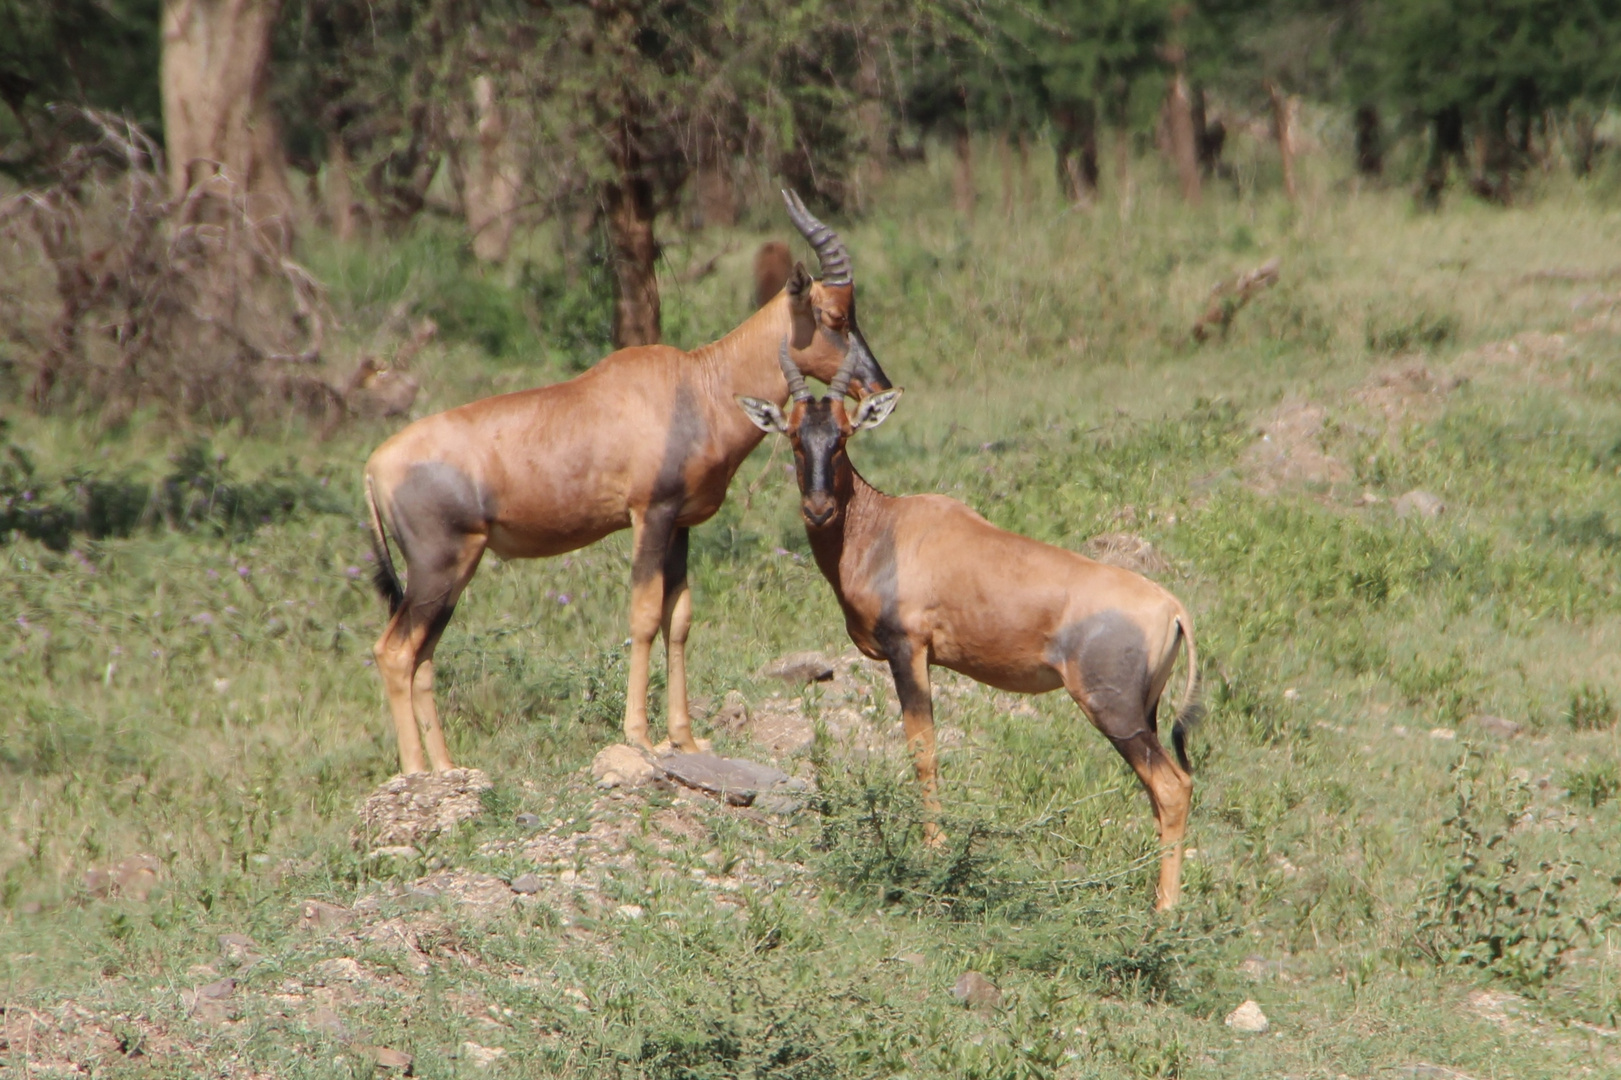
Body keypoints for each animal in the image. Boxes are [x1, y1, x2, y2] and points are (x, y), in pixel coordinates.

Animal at [363, 191, 894, 775]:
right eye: (835, 315)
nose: (879, 386)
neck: (696, 384)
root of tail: (374, 465)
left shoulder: (681, 524)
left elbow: (677, 618)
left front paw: (685, 738)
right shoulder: (650, 514)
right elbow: (642, 616)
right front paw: (640, 736)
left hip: (454, 569)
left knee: (424, 656)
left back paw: (447, 769)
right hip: (437, 565)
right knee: (395, 651)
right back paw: (416, 772)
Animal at [735, 340, 1206, 901]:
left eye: (844, 434)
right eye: (793, 434)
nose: (819, 509)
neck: (887, 527)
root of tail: (1171, 607)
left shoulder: (908, 651)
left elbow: (923, 748)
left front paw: (934, 850)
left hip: (1116, 713)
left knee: (1173, 787)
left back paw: (1165, 910)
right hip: (1146, 711)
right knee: (1161, 793)